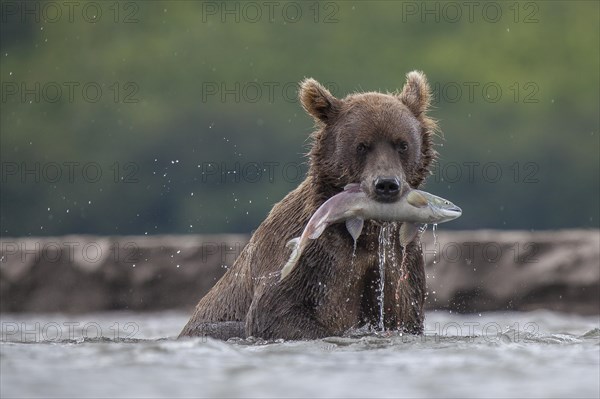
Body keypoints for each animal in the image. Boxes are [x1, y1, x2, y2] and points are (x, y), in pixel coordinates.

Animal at [178, 71, 436, 340]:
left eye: (402, 144)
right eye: (362, 145)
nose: (386, 184)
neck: (367, 232)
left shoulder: (401, 261)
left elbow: (404, 312)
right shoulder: (311, 254)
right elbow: (275, 310)